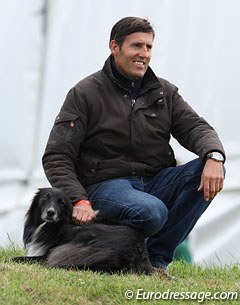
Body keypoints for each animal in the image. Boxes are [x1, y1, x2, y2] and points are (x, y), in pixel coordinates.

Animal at [11, 186, 152, 274]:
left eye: (61, 202)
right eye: (45, 198)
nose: (50, 212)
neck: (54, 225)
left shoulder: (46, 254)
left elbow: (25, 258)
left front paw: (13, 259)